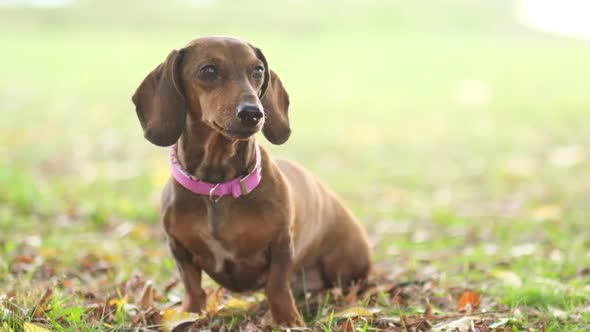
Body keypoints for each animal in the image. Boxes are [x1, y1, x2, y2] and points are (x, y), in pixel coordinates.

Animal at [132, 37, 372, 326]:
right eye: (209, 70)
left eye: (257, 70)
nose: (253, 113)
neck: (217, 187)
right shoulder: (178, 248)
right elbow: (193, 287)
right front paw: (189, 315)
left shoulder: (281, 244)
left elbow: (277, 286)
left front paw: (288, 320)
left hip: (343, 265)